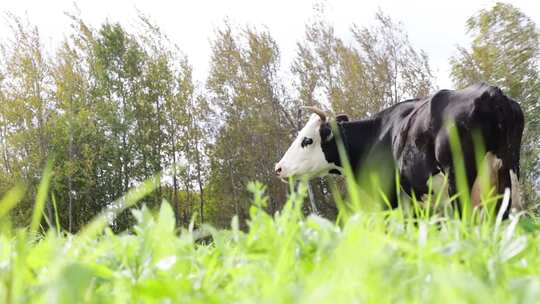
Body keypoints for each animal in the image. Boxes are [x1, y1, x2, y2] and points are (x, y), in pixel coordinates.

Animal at [274, 83, 524, 215]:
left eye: (306, 140)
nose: (279, 168)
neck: (375, 135)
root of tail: (491, 93)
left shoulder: (389, 199)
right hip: (507, 174)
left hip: (459, 179)